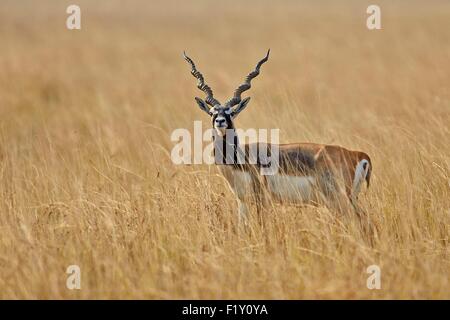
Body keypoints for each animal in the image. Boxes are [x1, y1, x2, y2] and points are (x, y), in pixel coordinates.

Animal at [184, 50, 372, 225]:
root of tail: (358, 155)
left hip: (339, 201)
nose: (220, 121)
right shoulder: (242, 202)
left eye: (231, 112)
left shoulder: (263, 201)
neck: (240, 158)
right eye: (212, 112)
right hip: (349, 200)